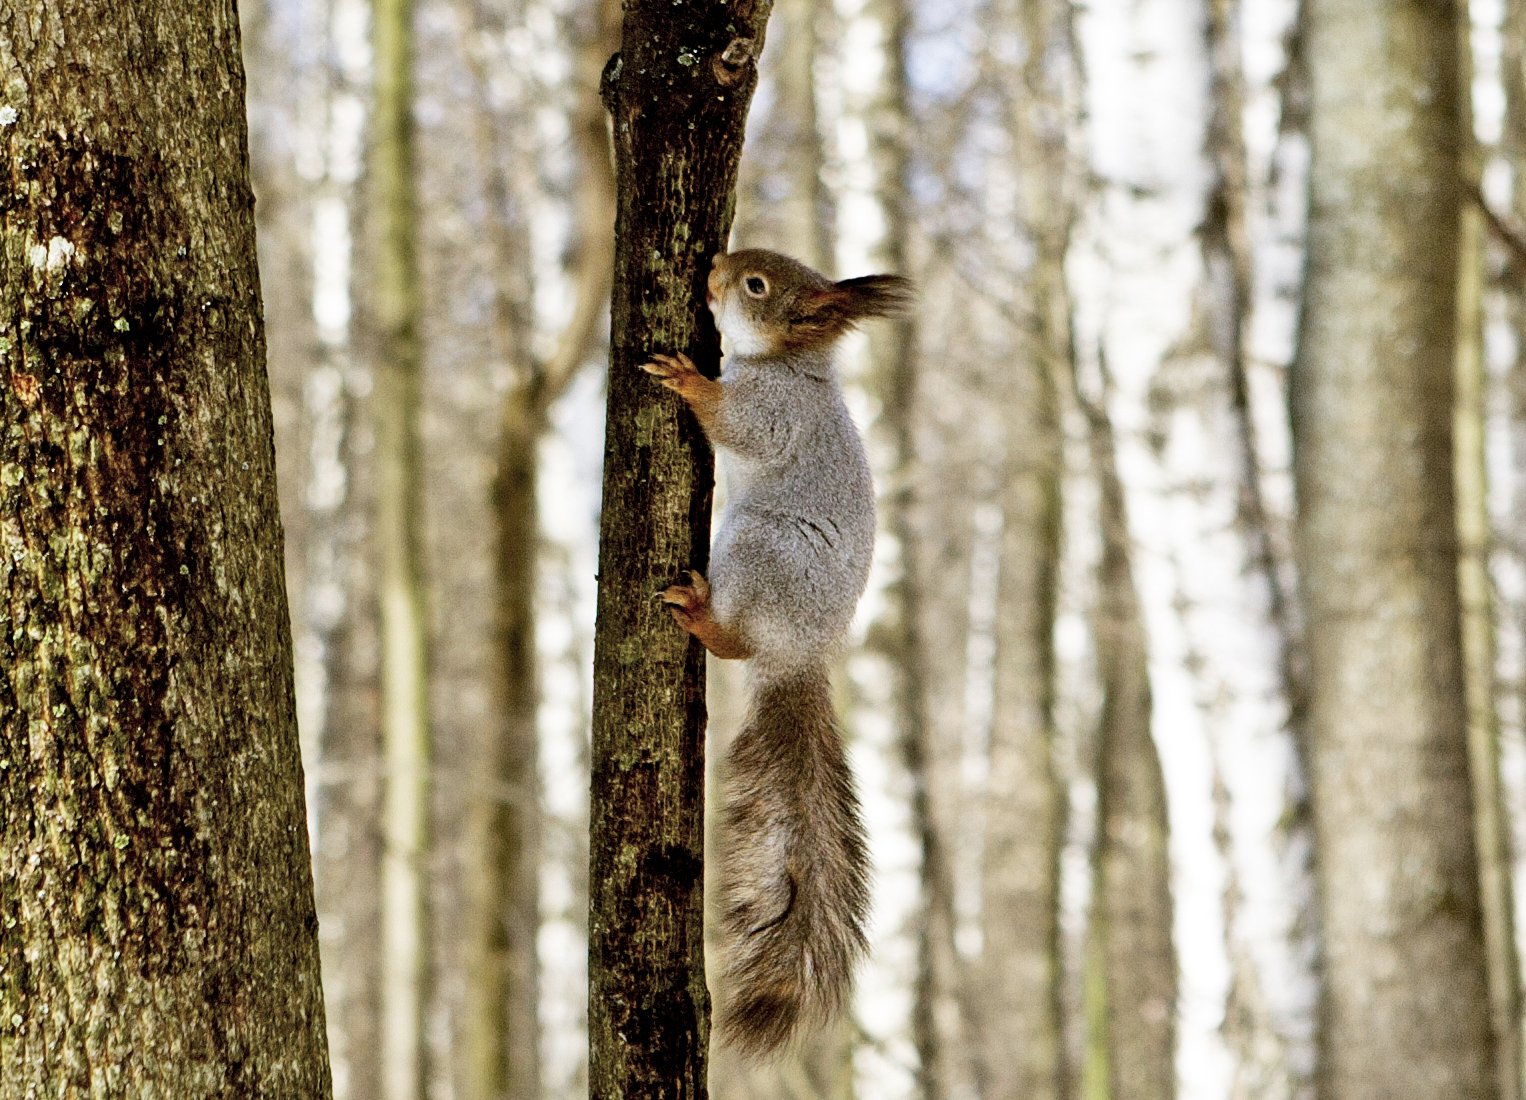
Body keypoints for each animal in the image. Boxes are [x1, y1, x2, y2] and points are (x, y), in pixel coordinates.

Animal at [637, 247, 909, 1055]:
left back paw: (705, 618)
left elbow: (736, 423)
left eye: (757, 285)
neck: (791, 365)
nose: (716, 266)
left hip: (758, 547)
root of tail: (799, 653)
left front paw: (690, 379)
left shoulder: (773, 412)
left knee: (733, 644)